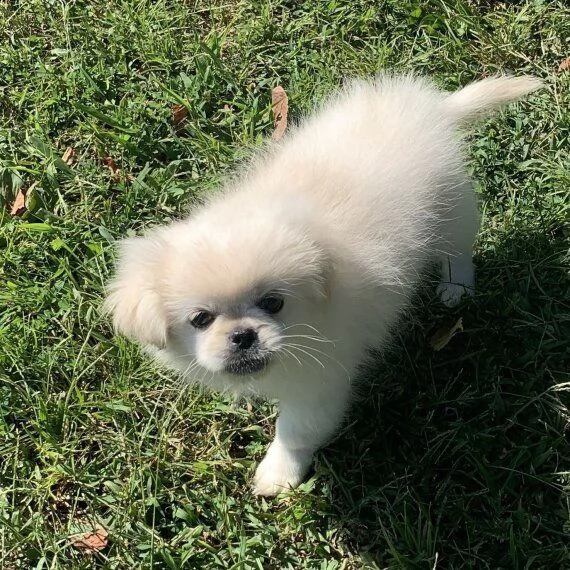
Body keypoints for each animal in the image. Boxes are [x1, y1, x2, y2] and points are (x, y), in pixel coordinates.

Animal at [104, 74, 540, 492]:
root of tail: (430, 108)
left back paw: (456, 290)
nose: (243, 336)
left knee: (458, 252)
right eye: (200, 320)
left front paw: (279, 474)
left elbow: (297, 432)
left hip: (451, 211)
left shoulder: (320, 379)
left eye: (274, 303)